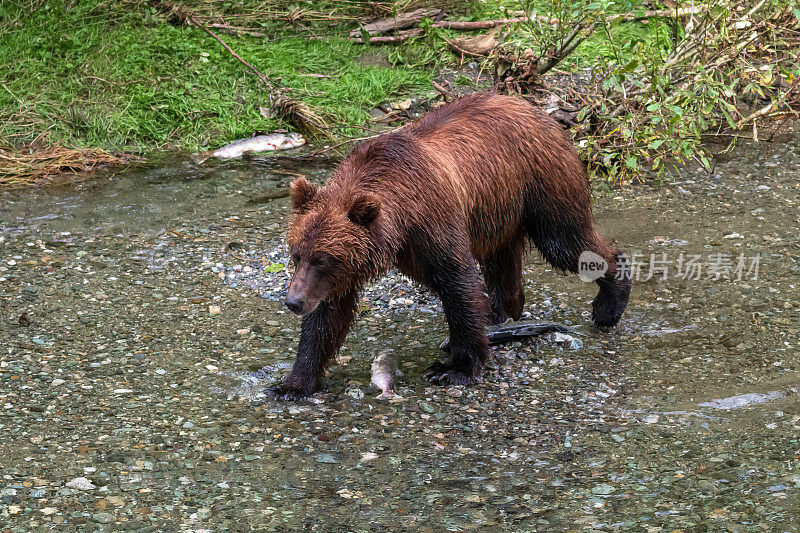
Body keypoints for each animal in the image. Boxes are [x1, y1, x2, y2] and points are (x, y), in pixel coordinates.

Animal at [270, 92, 632, 400]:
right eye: (297, 254)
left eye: (323, 258)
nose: (293, 301)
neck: (399, 218)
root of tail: (541, 112)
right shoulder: (363, 261)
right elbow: (328, 315)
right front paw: (293, 384)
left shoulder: (432, 220)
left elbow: (457, 282)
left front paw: (456, 369)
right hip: (499, 210)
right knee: (503, 264)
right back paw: (501, 314)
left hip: (542, 183)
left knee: (565, 241)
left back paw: (609, 303)